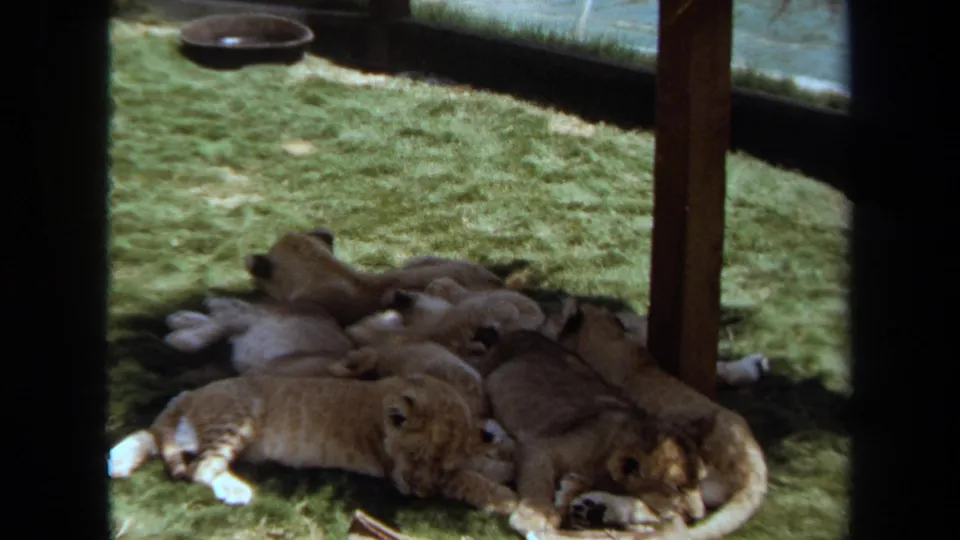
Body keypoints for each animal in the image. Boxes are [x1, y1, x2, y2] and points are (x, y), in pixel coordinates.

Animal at [106, 374, 518, 512]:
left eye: (441, 462)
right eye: (415, 455)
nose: (419, 494)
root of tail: (191, 394)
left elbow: (473, 463)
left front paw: (503, 458)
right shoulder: (391, 471)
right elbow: (468, 480)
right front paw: (507, 499)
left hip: (192, 429)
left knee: (153, 438)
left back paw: (118, 462)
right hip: (239, 416)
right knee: (203, 468)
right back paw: (237, 490)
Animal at [477, 328, 711, 538]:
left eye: (700, 481)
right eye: (677, 487)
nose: (699, 517)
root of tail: (515, 332)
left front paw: (573, 493)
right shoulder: (540, 446)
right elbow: (538, 485)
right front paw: (536, 517)